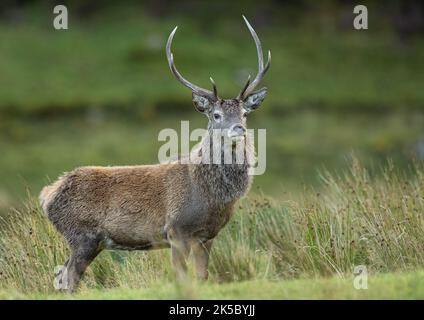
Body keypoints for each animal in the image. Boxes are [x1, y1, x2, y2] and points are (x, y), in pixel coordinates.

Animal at [39, 16, 272, 292]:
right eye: (216, 115)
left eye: (244, 114)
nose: (238, 128)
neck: (210, 197)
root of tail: (47, 195)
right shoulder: (176, 229)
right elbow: (181, 277)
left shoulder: (208, 235)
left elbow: (202, 277)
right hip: (82, 235)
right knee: (69, 278)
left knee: (61, 277)